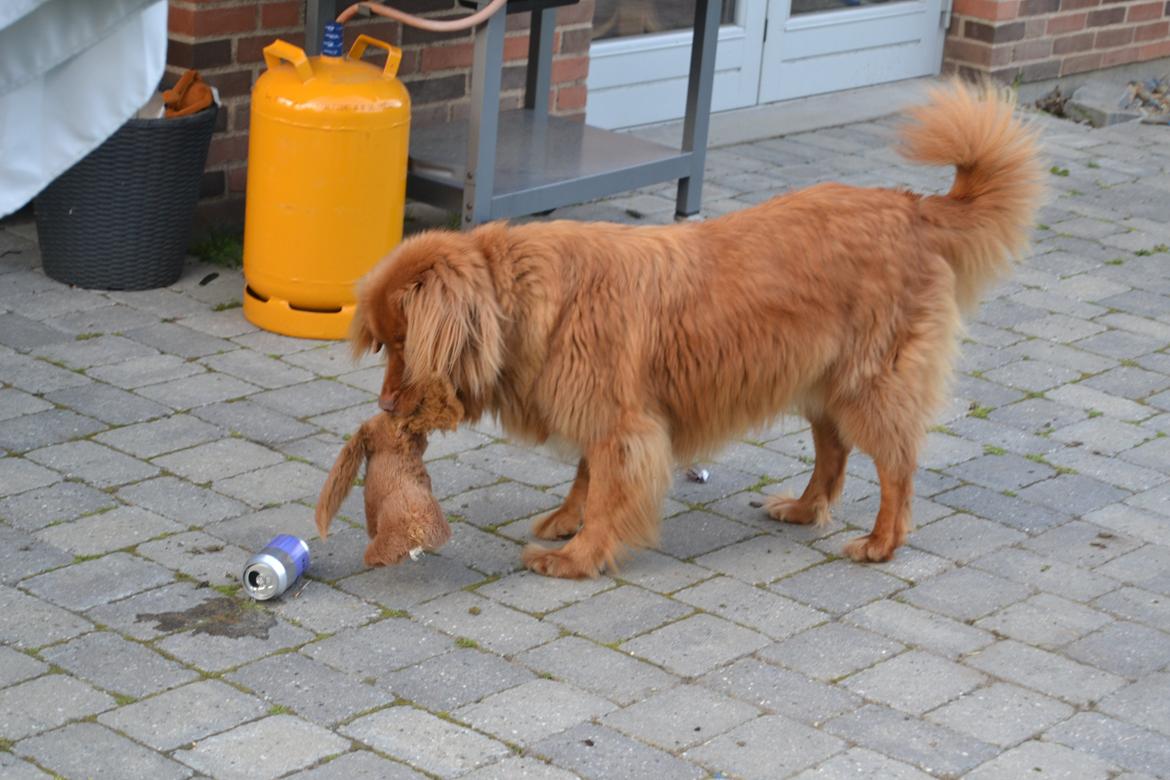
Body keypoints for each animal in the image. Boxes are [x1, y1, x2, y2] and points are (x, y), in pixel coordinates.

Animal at [346, 80, 1043, 580]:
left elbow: (607, 492)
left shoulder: (624, 425)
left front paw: (578, 557)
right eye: (387, 346)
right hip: (820, 379)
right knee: (834, 452)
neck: (524, 296)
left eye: (405, 345)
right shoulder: (606, 415)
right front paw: (567, 522)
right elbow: (585, 477)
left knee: (897, 463)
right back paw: (803, 509)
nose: (385, 404)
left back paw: (880, 542)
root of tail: (912, 207)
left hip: (870, 382)